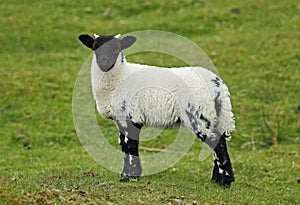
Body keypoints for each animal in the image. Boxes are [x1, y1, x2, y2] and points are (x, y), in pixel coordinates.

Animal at [78, 33, 236, 187]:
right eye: (95, 48)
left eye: (116, 49)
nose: (104, 61)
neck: (120, 77)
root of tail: (218, 85)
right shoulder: (121, 118)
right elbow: (124, 146)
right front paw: (126, 175)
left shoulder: (131, 116)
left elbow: (130, 146)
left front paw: (131, 176)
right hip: (216, 116)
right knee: (219, 140)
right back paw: (216, 180)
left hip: (199, 114)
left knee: (216, 142)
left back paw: (226, 181)